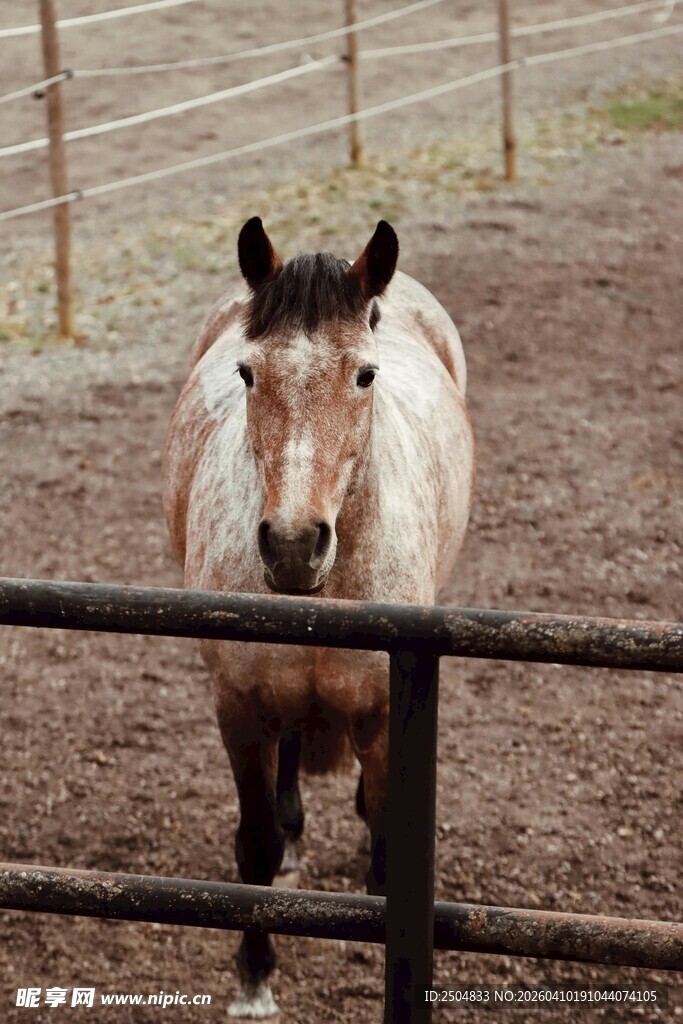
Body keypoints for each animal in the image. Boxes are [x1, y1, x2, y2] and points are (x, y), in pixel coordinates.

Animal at [162, 217, 475, 1018]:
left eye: (364, 374)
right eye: (246, 373)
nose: (294, 543)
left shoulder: (383, 711)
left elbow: (390, 844)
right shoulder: (238, 707)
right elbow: (255, 844)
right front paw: (254, 979)